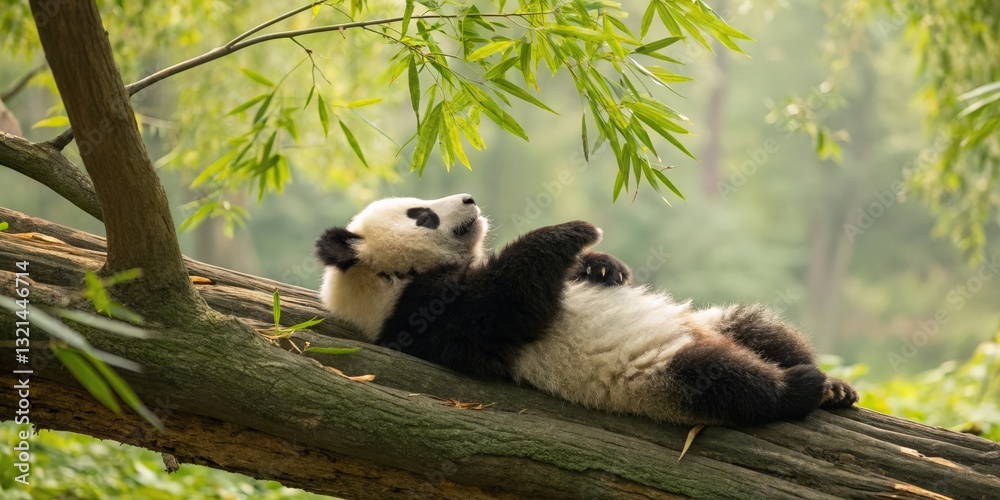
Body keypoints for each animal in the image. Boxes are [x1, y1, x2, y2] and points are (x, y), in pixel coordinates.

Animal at [315, 194, 858, 426]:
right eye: (422, 215)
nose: (468, 198)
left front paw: (602, 266)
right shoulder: (426, 316)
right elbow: (504, 305)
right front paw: (574, 231)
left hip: (713, 321)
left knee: (761, 328)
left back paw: (835, 387)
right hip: (662, 372)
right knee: (724, 381)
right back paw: (800, 388)